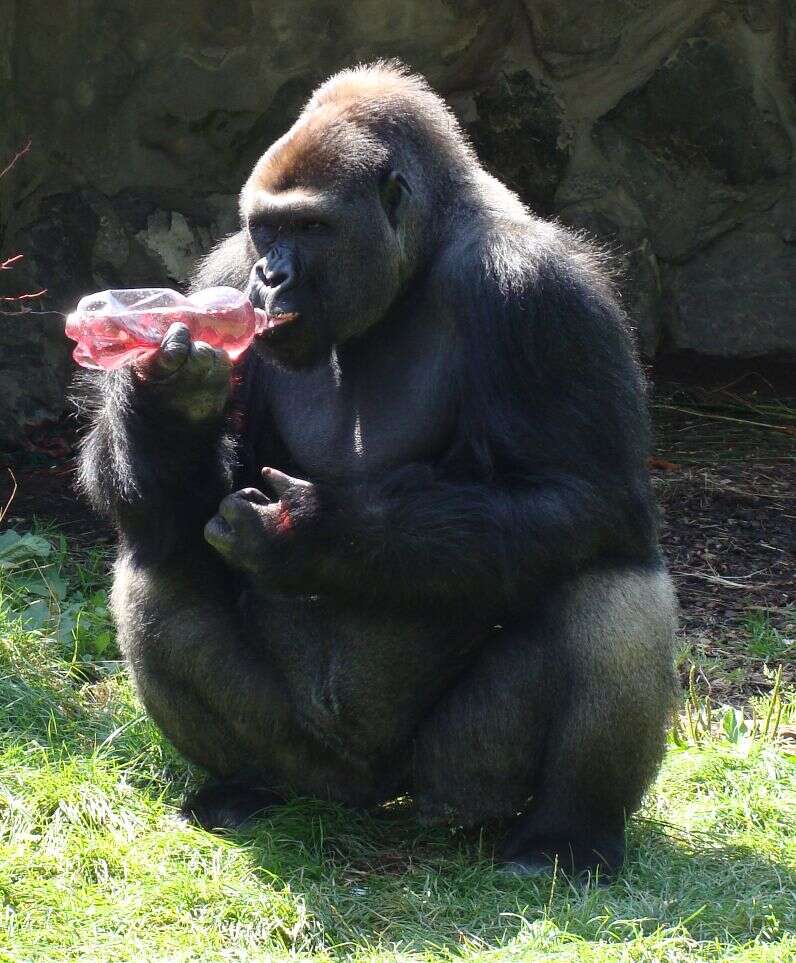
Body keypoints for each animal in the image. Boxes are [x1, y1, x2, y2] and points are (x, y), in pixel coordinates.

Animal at [79, 58, 676, 872]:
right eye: (266, 228)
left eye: (311, 227)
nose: (270, 277)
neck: (416, 261)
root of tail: (364, 793)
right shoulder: (224, 266)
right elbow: (177, 505)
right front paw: (167, 396)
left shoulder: (545, 292)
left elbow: (586, 496)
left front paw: (314, 533)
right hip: (305, 759)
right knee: (157, 560)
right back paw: (244, 783)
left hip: (456, 776)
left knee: (609, 578)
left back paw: (565, 832)